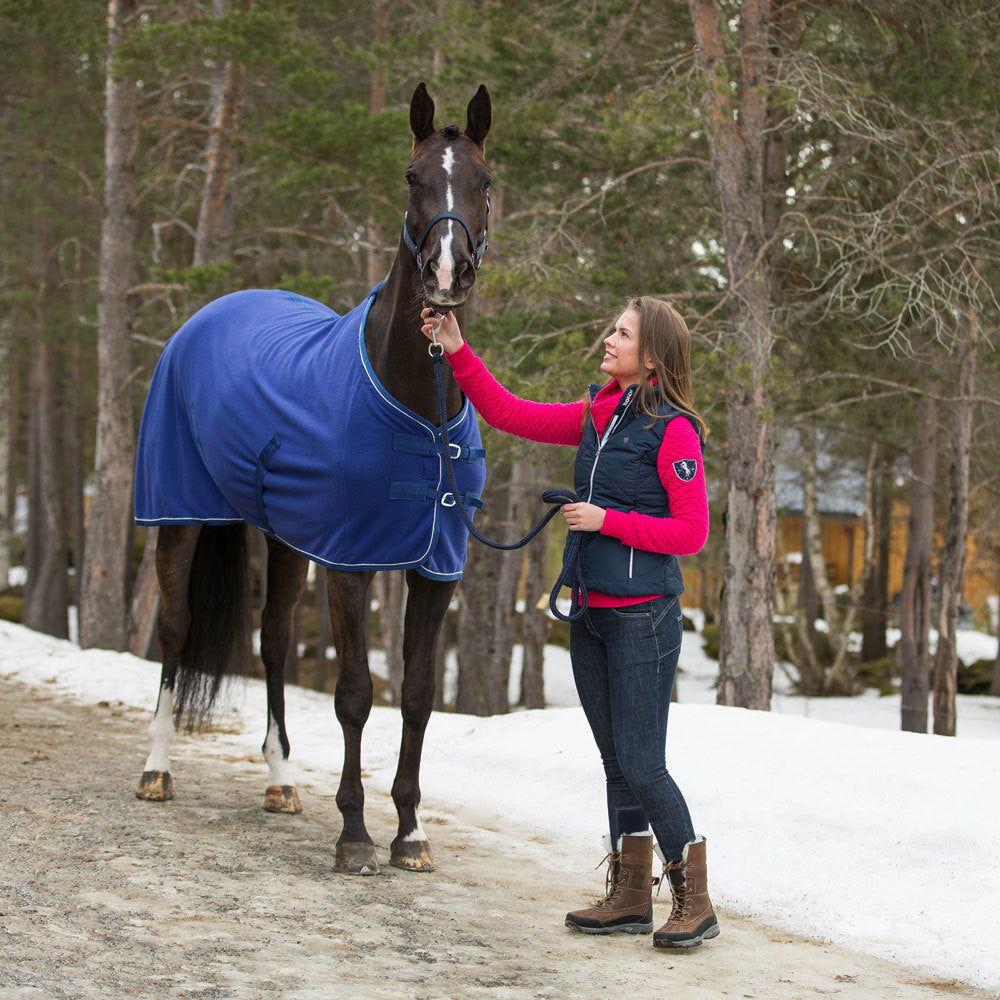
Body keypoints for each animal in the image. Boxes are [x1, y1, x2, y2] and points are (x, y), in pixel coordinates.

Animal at [132, 82, 493, 876]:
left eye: (484, 181)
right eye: (412, 177)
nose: (447, 276)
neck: (417, 404)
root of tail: (212, 311)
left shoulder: (434, 570)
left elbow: (417, 695)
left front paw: (410, 833)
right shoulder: (351, 561)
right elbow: (355, 691)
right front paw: (355, 833)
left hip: (285, 536)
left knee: (269, 640)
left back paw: (280, 782)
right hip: (177, 512)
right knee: (174, 629)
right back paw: (156, 769)